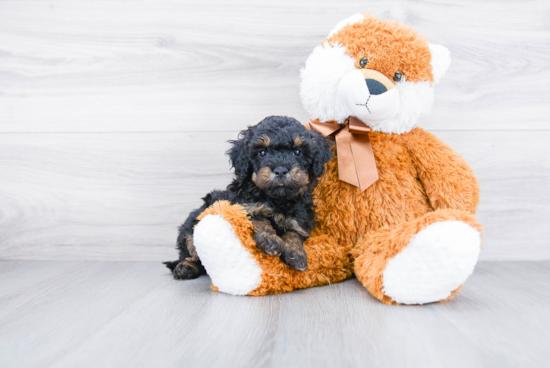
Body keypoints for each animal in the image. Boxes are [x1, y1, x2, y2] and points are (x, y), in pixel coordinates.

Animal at [164, 116, 334, 280]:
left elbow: (294, 233)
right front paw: (271, 241)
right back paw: (186, 267)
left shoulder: (300, 220)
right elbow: (260, 219)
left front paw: (296, 254)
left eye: (297, 152)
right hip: (193, 223)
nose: (280, 170)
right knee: (192, 251)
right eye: (262, 153)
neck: (277, 199)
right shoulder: (242, 206)